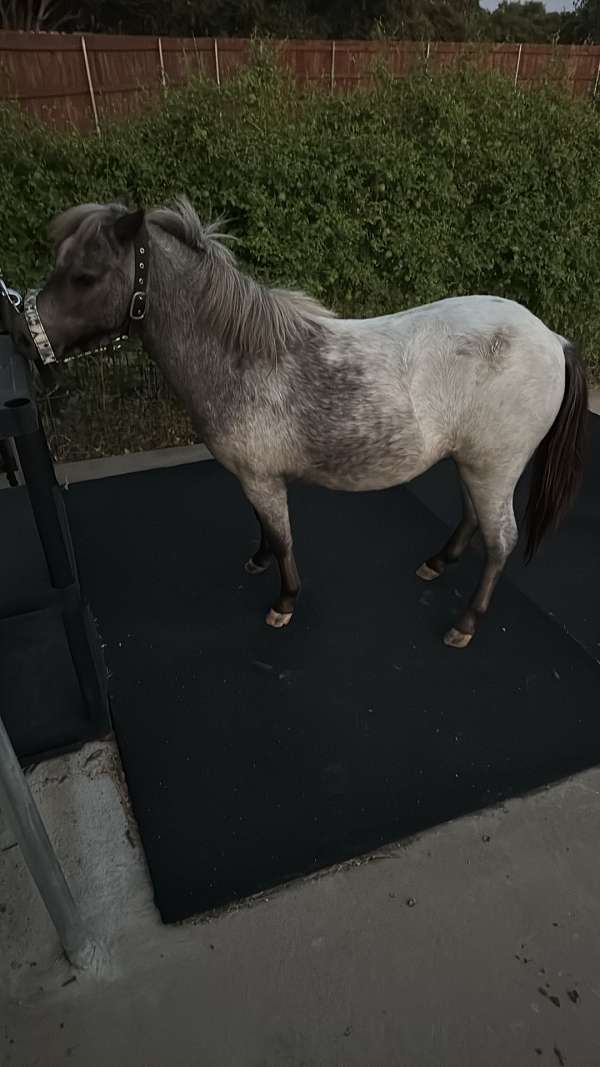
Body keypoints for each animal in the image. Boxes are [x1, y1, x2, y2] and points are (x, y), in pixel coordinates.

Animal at [17, 197, 588, 648]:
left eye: (86, 276)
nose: (25, 335)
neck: (242, 358)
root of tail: (551, 338)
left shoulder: (261, 478)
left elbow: (284, 537)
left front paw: (285, 602)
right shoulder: (254, 479)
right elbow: (265, 529)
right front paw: (258, 560)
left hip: (496, 466)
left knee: (501, 541)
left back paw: (465, 623)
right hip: (473, 461)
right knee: (472, 518)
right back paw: (436, 562)